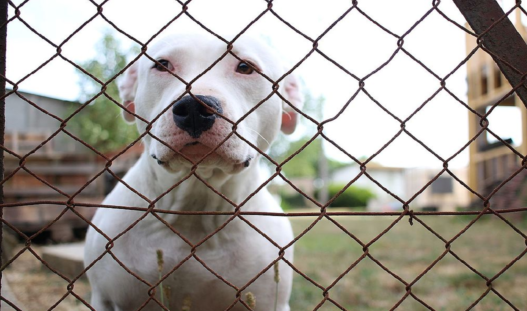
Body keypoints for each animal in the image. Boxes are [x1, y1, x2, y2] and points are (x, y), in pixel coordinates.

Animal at [84, 33, 304, 310]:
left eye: (245, 67)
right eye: (163, 65)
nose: (194, 108)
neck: (196, 208)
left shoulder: (269, 302)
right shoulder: (104, 298)